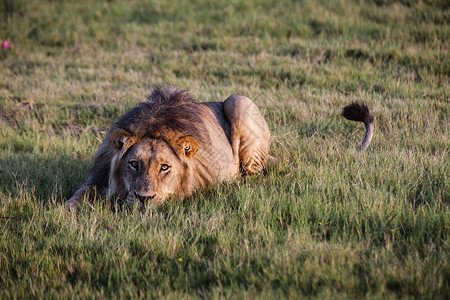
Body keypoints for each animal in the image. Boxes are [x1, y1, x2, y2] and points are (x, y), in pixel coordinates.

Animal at [65, 85, 374, 211]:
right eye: (133, 163)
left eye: (165, 167)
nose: (144, 198)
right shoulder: (97, 176)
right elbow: (80, 194)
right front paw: (63, 213)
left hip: (239, 101)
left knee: (252, 174)